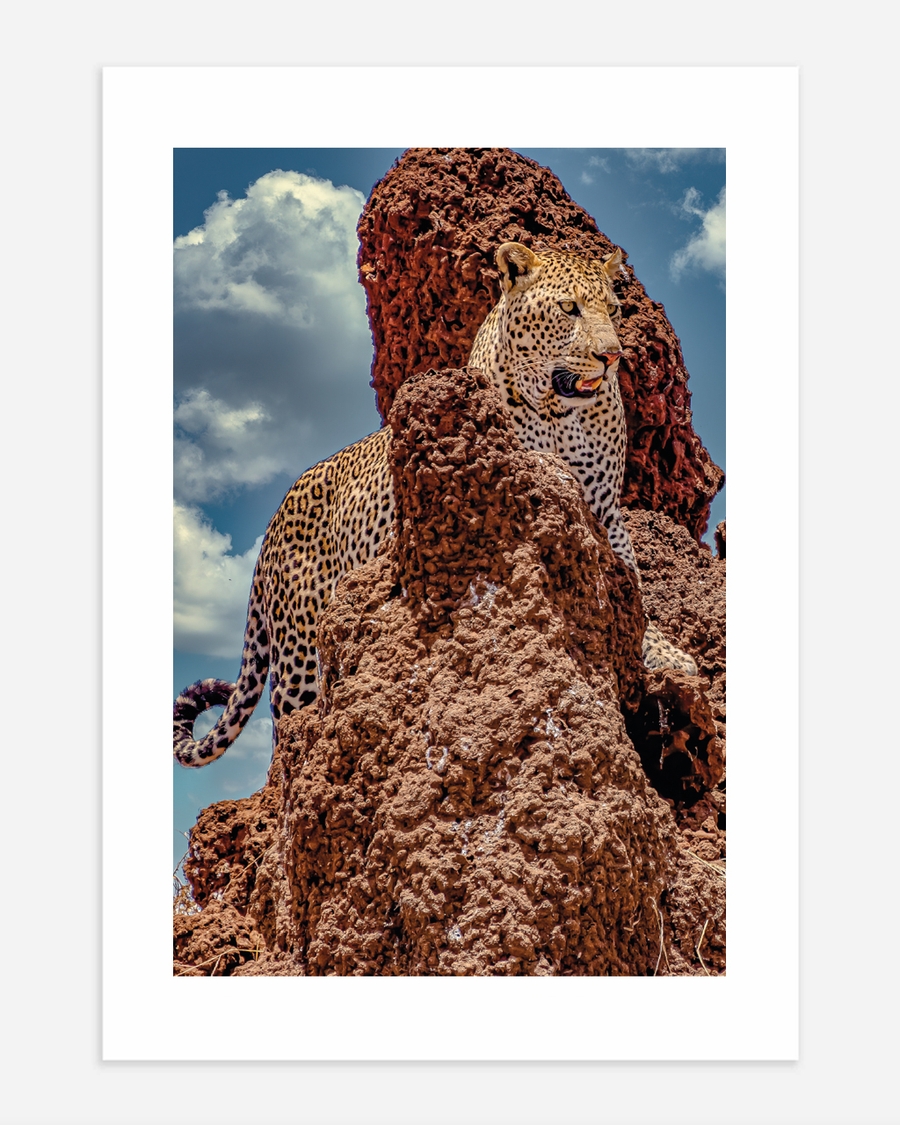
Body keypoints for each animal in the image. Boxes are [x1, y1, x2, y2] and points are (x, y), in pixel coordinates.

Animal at [174, 241, 698, 768]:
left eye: (614, 310)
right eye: (569, 308)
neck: (560, 413)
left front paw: (665, 651)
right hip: (298, 653)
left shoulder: (604, 510)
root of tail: (275, 519)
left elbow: (630, 586)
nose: (610, 356)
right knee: (289, 729)